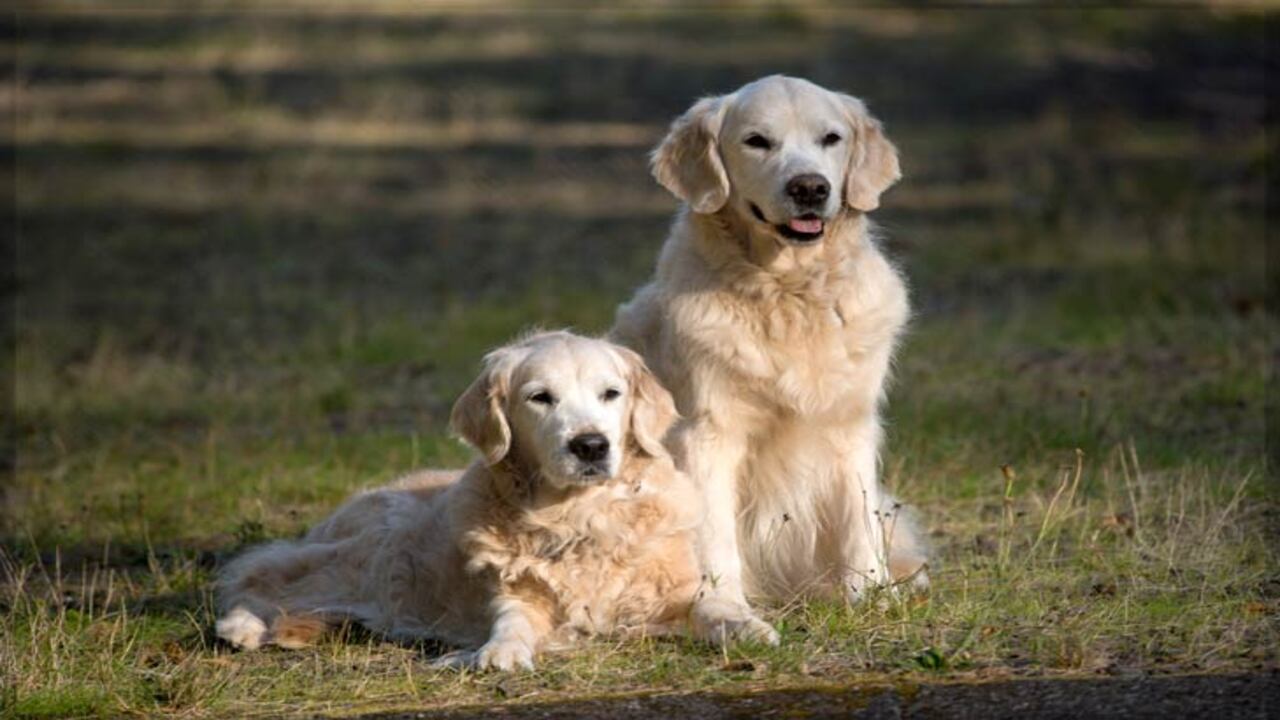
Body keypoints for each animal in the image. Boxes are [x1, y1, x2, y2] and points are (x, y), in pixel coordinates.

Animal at [215, 330, 706, 666]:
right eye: (540, 398)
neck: (579, 515)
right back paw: (241, 627)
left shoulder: (676, 594)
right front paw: (500, 651)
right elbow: (512, 622)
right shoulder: (512, 594)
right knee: (258, 575)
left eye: (611, 394)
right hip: (366, 557)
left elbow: (713, 610)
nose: (590, 446)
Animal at [611, 75, 926, 640]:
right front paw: (727, 613)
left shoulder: (850, 426)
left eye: (831, 138)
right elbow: (715, 539)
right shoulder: (708, 433)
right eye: (757, 141)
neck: (789, 293)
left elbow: (857, 520)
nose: (810, 188)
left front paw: (871, 597)